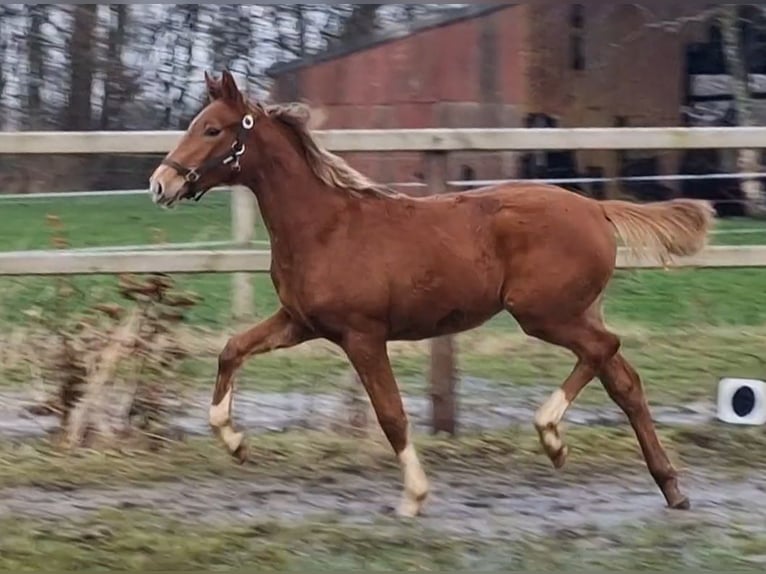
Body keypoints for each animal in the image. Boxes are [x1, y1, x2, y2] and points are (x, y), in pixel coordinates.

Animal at [148, 70, 715, 518]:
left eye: (212, 128)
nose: (159, 184)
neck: (326, 227)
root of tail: (596, 208)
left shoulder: (362, 336)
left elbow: (392, 415)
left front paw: (414, 497)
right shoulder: (300, 322)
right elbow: (231, 349)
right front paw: (235, 443)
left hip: (545, 314)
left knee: (605, 351)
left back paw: (553, 435)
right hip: (574, 312)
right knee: (623, 379)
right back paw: (668, 487)